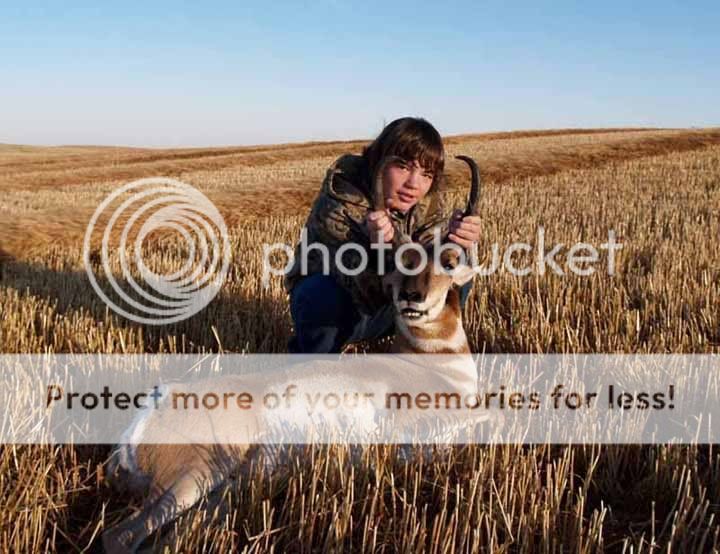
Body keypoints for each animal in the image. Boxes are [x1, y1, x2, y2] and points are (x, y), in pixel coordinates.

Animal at [102, 156, 483, 554]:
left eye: (448, 262)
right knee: (121, 536)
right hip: (200, 474)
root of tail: (153, 407)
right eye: (397, 263)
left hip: (227, 485)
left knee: (180, 529)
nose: (411, 297)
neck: (426, 363)